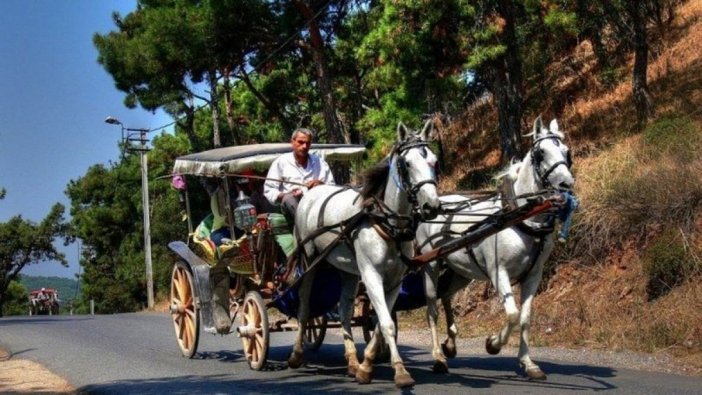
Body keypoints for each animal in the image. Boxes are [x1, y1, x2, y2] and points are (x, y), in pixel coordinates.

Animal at [288, 120, 442, 386]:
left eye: (433, 160)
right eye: (407, 164)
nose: (431, 206)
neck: (386, 223)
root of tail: (309, 193)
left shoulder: (393, 281)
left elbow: (381, 322)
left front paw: (366, 365)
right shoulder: (371, 276)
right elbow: (388, 324)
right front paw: (400, 372)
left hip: (347, 271)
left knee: (345, 311)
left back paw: (351, 361)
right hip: (310, 263)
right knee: (304, 307)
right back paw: (297, 354)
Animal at [418, 117, 572, 380]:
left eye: (566, 151)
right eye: (541, 152)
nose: (566, 184)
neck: (520, 217)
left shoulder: (534, 275)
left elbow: (525, 317)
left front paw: (528, 363)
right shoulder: (499, 273)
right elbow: (512, 314)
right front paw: (493, 343)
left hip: (461, 271)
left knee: (446, 295)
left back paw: (451, 344)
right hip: (431, 265)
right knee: (432, 308)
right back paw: (438, 357)